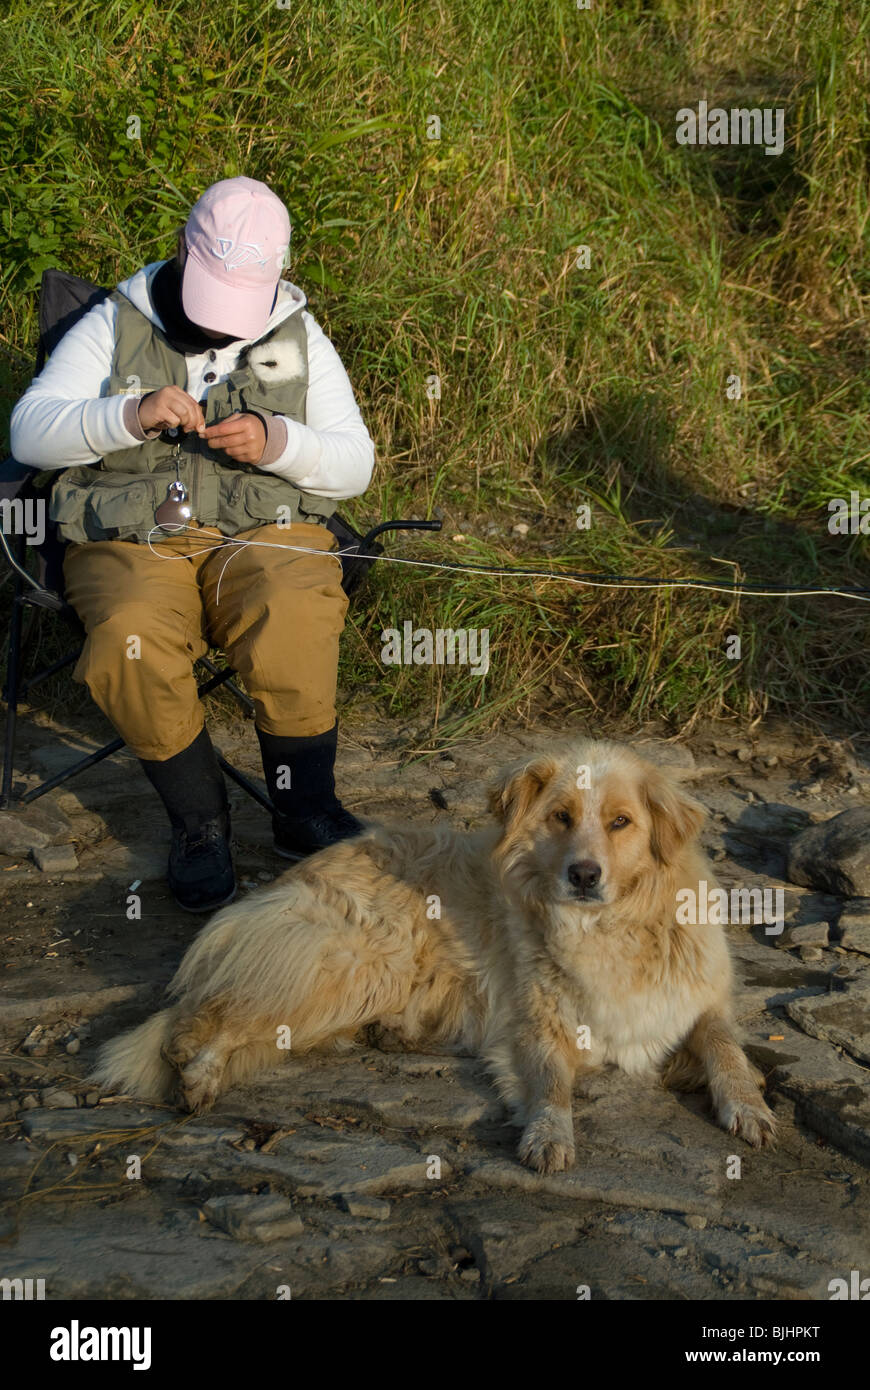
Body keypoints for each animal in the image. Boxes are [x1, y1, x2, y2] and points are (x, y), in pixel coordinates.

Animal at [94, 739, 772, 1173]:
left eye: (622, 822)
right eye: (560, 817)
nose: (584, 875)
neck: (611, 926)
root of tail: (302, 872)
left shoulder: (700, 1002)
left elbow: (726, 1048)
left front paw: (749, 1104)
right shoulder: (535, 1026)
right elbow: (552, 1081)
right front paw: (549, 1134)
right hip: (356, 965)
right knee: (212, 1019)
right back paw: (199, 1073)